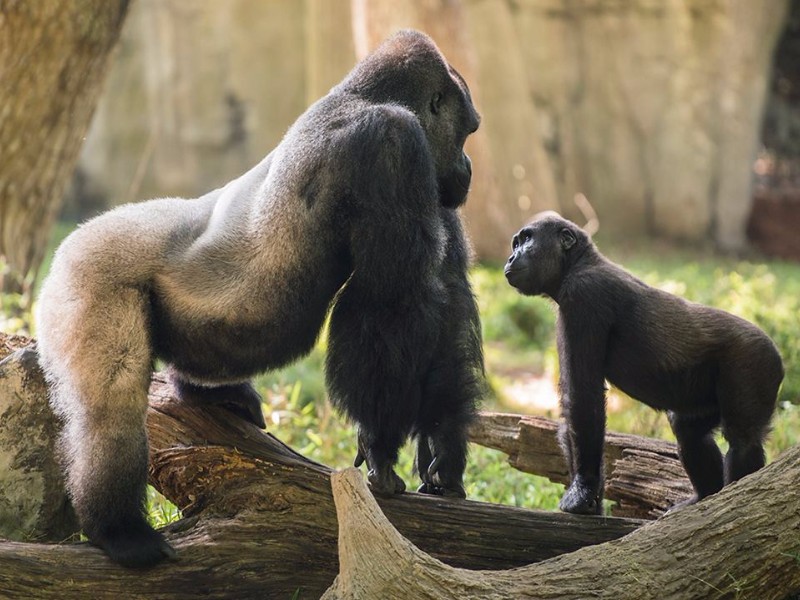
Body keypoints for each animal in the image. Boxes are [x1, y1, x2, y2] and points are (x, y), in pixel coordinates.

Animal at [36, 29, 482, 568]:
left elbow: (448, 302)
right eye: (466, 132)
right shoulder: (389, 143)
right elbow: (392, 304)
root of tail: (71, 241)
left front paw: (445, 450)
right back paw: (119, 530)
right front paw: (380, 446)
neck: (363, 95)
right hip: (87, 274)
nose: (468, 168)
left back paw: (211, 395)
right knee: (109, 405)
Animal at [504, 214, 784, 516]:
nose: (510, 257)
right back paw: (705, 497)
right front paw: (592, 498)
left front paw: (583, 487)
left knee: (743, 440)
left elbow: (582, 397)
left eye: (527, 240)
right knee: (689, 431)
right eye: (516, 243)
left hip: (756, 359)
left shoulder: (584, 293)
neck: (580, 261)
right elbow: (573, 402)